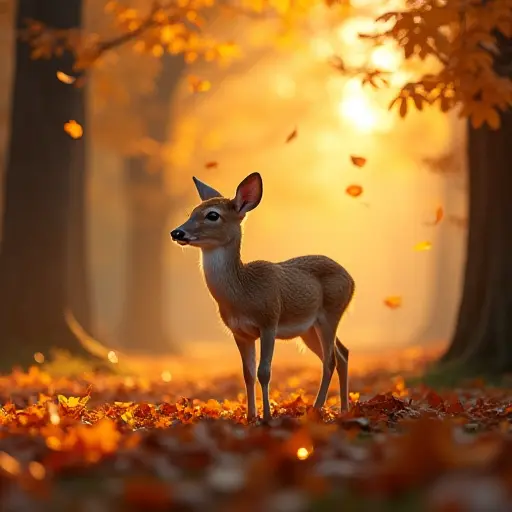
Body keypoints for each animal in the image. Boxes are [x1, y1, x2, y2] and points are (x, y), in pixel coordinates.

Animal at [170, 172, 354, 420]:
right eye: (191, 212)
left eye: (213, 215)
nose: (177, 232)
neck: (244, 293)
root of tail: (351, 279)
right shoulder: (239, 332)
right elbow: (247, 373)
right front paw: (250, 417)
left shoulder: (269, 320)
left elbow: (264, 371)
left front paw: (267, 416)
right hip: (308, 329)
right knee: (342, 353)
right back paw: (343, 409)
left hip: (331, 312)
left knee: (330, 359)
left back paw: (316, 408)